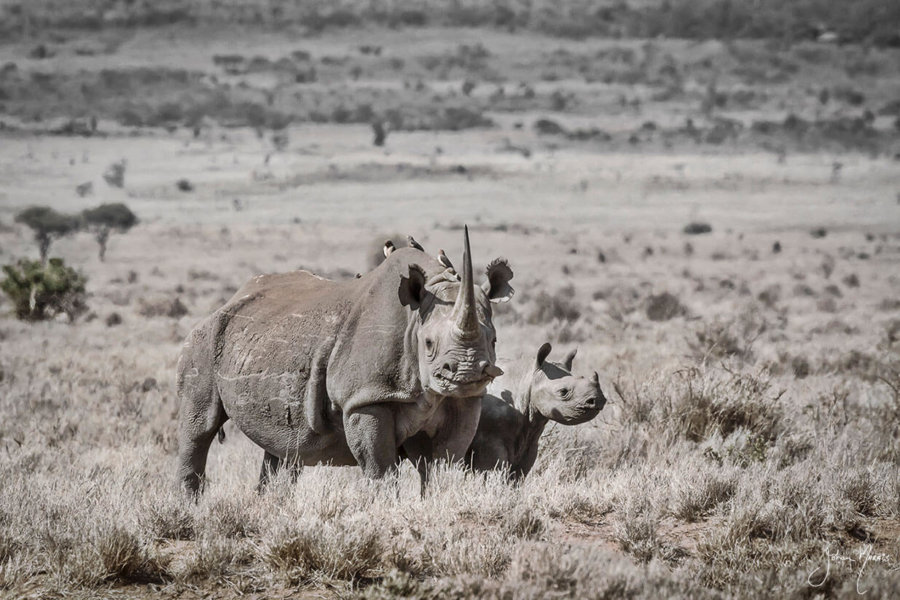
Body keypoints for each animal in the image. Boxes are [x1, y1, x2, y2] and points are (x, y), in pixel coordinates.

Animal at [176, 225, 512, 492]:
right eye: (428, 344)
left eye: (494, 341)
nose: (467, 373)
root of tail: (228, 301)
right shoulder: (365, 398)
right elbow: (381, 470)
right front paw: (386, 508)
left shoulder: (462, 403)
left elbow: (442, 467)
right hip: (203, 340)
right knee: (198, 429)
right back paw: (187, 509)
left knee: (281, 446)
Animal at [464, 344, 604, 480]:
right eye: (563, 392)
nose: (598, 400)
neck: (526, 379)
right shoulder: (489, 439)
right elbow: (491, 470)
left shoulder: (530, 439)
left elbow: (519, 474)